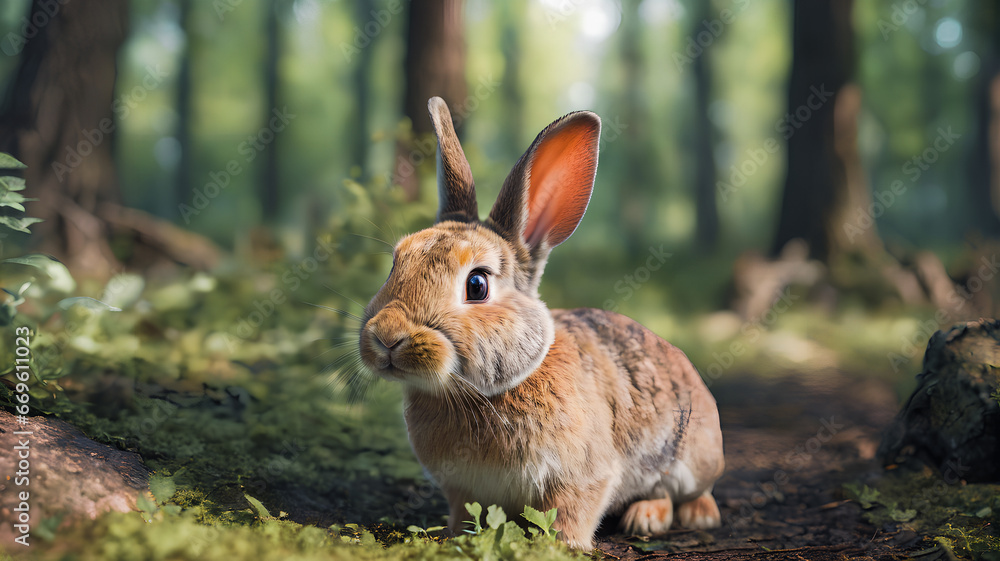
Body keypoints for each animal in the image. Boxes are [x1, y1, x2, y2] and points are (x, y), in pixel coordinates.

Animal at [359, 96, 724, 549]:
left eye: (477, 285)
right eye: (396, 263)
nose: (387, 337)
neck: (480, 394)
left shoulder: (584, 478)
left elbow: (572, 512)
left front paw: (563, 546)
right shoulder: (462, 489)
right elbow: (466, 511)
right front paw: (457, 536)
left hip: (691, 458)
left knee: (685, 492)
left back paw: (666, 517)